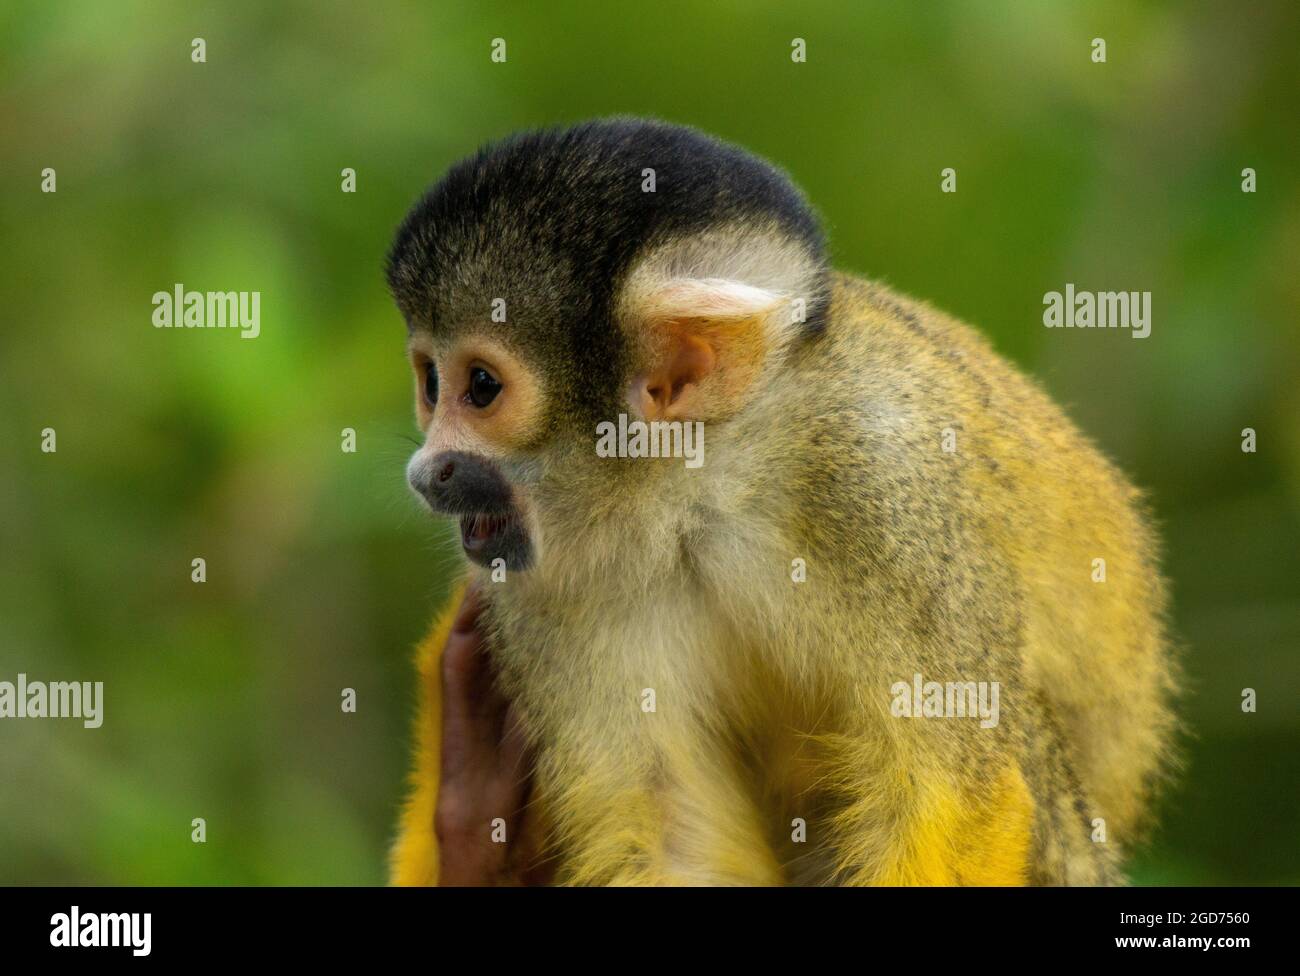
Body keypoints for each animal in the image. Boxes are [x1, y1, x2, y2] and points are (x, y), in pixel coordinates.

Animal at [385, 118, 1178, 886]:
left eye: (481, 388)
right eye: (431, 383)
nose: (427, 473)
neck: (702, 496)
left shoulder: (881, 486)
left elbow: (950, 799)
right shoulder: (534, 599)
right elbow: (673, 833)